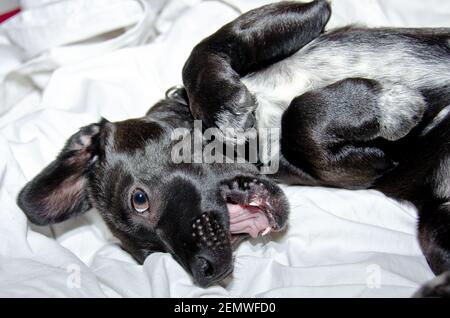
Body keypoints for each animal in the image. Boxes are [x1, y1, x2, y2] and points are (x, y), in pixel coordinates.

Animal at [15, 0, 448, 296]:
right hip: (433, 225)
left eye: (139, 199)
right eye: (152, 256)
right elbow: (302, 124)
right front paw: (385, 106)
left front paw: (225, 107)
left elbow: (207, 47)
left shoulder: (298, 15)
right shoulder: (355, 174)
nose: (204, 272)